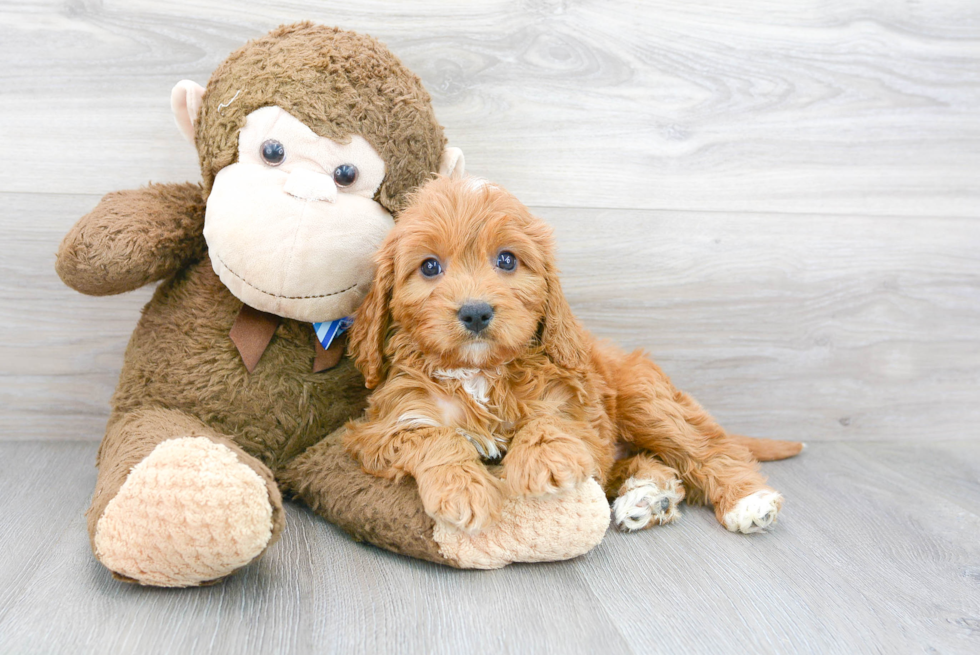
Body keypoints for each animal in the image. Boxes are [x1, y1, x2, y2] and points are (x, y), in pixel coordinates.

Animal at [344, 177, 804, 536]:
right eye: (429, 267)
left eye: (506, 260)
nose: (475, 312)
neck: (480, 373)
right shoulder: (384, 425)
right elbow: (434, 436)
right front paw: (462, 489)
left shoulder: (582, 414)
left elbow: (550, 421)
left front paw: (543, 460)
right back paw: (649, 497)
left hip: (646, 400)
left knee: (708, 449)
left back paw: (746, 500)